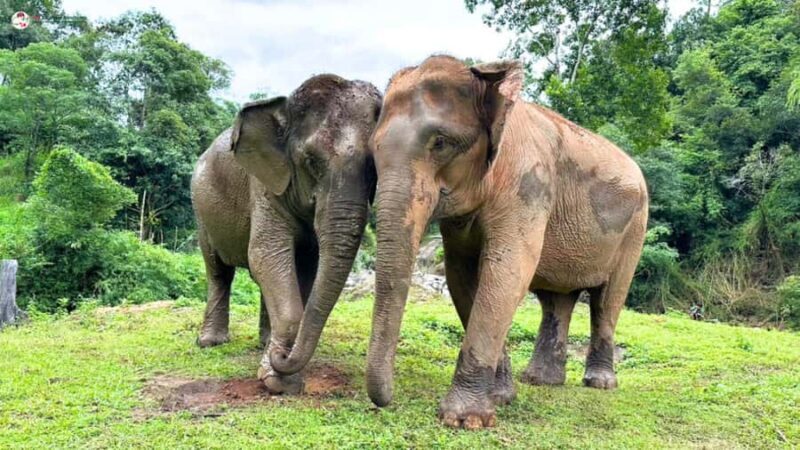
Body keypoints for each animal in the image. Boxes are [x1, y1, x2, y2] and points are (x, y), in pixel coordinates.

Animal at [191, 74, 381, 394]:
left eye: (375, 171)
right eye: (311, 162)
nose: (282, 357)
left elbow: (305, 266)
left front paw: (278, 365)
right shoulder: (264, 186)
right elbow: (265, 255)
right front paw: (278, 380)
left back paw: (264, 343)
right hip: (200, 207)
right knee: (218, 270)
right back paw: (211, 343)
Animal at [365, 55, 648, 429]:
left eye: (440, 143)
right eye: (373, 149)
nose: (386, 402)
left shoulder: (528, 185)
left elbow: (507, 271)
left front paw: (464, 420)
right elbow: (462, 277)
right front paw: (501, 398)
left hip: (635, 229)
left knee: (607, 299)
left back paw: (599, 383)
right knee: (556, 301)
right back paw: (541, 381)